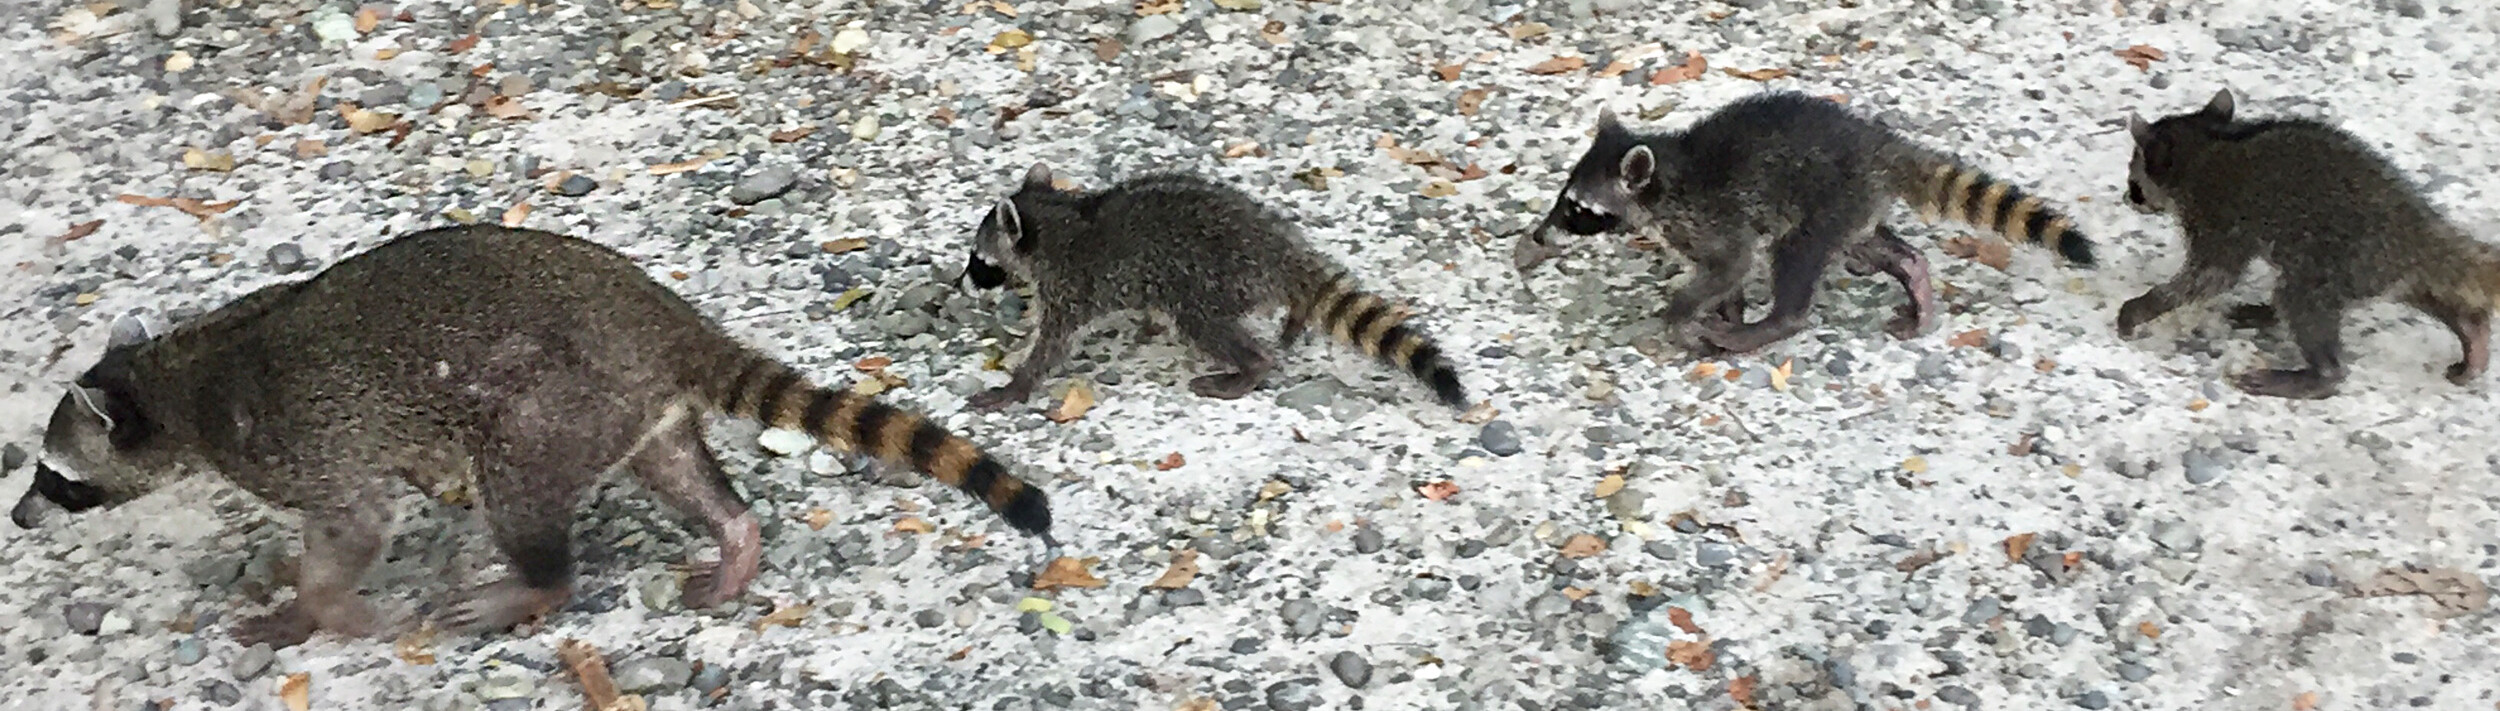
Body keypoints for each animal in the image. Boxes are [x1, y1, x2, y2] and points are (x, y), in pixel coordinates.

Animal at [7, 225, 1055, 645]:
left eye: (55, 476)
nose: (17, 519)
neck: (173, 376)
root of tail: (658, 317)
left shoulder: (295, 443)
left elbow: (354, 525)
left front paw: (321, 608)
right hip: (626, 406)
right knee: (678, 469)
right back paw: (734, 535)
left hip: (548, 405)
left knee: (518, 491)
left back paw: (539, 581)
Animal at [955, 165, 1460, 410]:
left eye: (980, 259)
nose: (962, 285)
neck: (1058, 218)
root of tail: (1277, 251)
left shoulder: (1068, 285)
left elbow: (1052, 346)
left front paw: (1017, 384)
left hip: (1208, 281)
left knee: (1205, 326)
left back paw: (1251, 367)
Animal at [1520, 91, 2090, 352]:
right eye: (1565, 199)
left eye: (1576, 208)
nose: (1540, 234)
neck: (1665, 174)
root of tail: (1878, 145)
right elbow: (1725, 278)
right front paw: (1724, 309)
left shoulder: (1711, 218)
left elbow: (1729, 265)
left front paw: (1683, 315)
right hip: (1853, 208)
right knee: (1882, 250)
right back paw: (1915, 279)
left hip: (1826, 200)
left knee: (1795, 259)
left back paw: (1771, 324)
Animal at [2110, 88, 2500, 398]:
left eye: (2134, 182)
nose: (2127, 199)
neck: (2209, 142)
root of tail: (2419, 230)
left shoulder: (2215, 216)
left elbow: (2211, 276)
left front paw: (2145, 306)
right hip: (2379, 270)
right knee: (2431, 293)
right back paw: (2472, 334)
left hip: (2341, 259)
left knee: (2300, 303)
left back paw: (2319, 375)